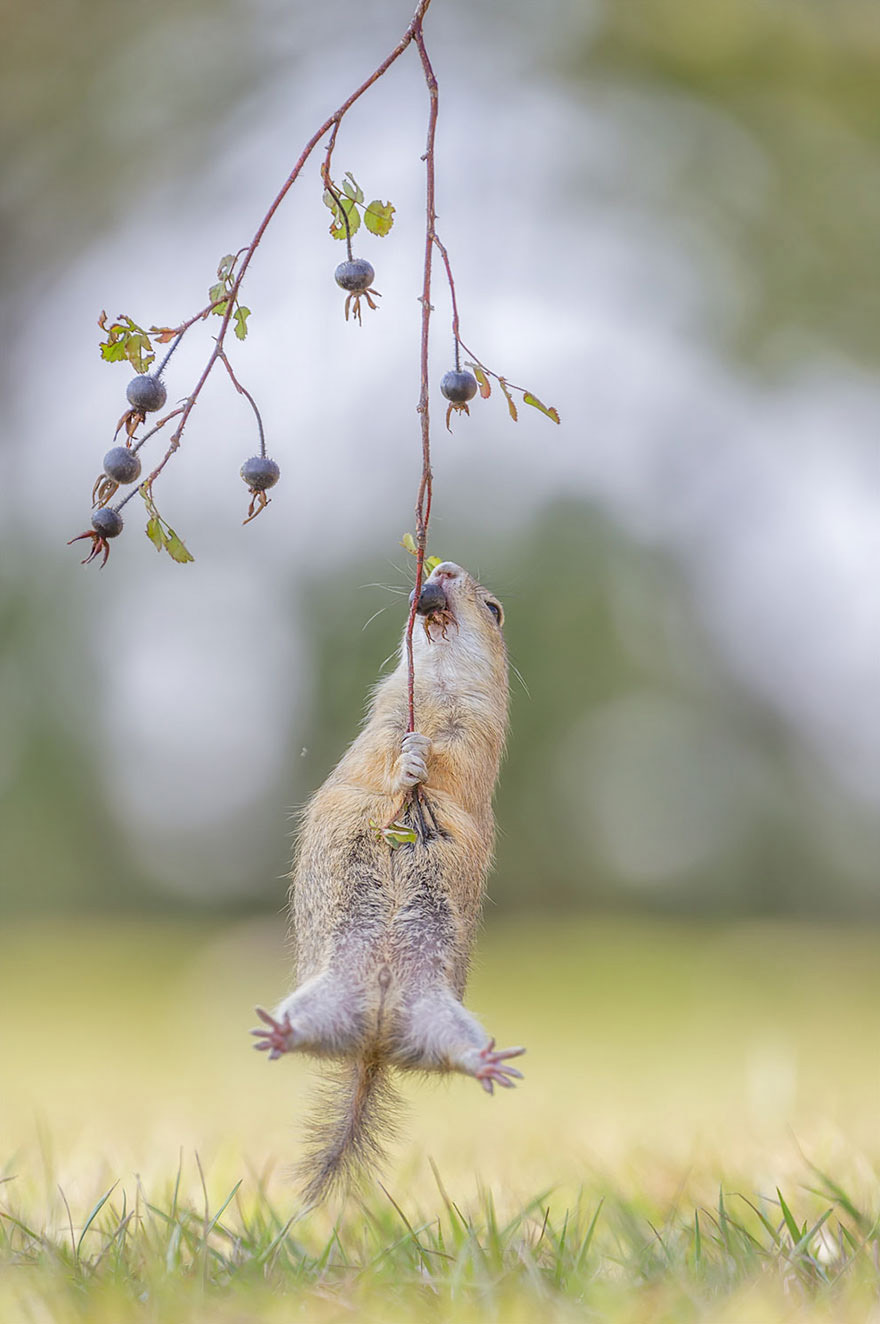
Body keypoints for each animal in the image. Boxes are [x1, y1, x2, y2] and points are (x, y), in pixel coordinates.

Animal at [250, 558, 521, 1202]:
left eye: (494, 610)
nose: (443, 567)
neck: (437, 687)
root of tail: (372, 1044)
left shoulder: (478, 734)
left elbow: (454, 764)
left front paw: (421, 757)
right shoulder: (382, 719)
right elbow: (380, 759)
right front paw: (408, 761)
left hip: (438, 1017)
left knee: (452, 1054)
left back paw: (488, 1062)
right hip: (330, 998)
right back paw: (279, 1033)